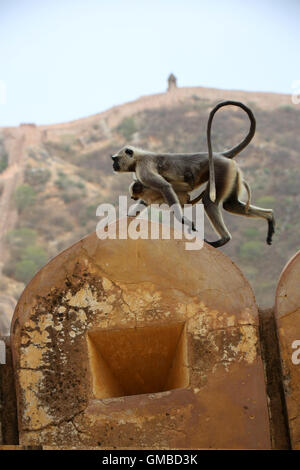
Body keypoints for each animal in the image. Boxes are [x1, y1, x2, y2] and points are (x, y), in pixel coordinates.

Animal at [111, 98, 276, 246]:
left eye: (115, 159)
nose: (113, 165)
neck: (137, 158)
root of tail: (220, 155)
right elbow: (146, 198)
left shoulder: (143, 166)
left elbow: (164, 187)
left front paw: (183, 220)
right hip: (232, 172)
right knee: (230, 204)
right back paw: (270, 217)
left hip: (220, 170)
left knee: (209, 201)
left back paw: (223, 239)